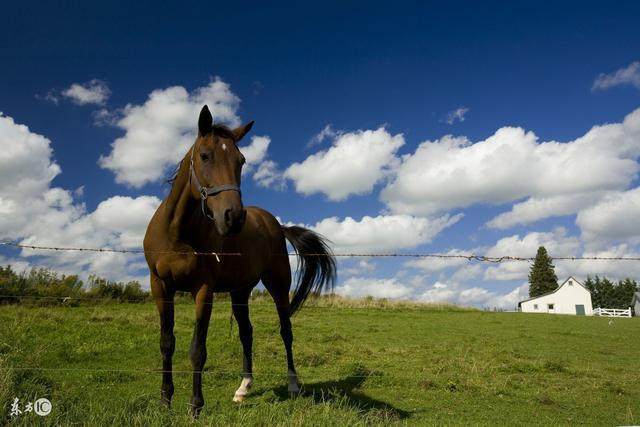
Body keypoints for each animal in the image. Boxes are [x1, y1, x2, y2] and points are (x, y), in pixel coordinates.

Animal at [143, 105, 338, 416]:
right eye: (205, 155)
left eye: (241, 160)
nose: (233, 217)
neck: (178, 233)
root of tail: (275, 225)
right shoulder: (160, 286)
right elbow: (166, 342)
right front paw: (165, 400)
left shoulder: (203, 290)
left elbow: (197, 350)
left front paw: (195, 405)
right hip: (240, 292)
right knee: (247, 333)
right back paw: (243, 388)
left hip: (278, 286)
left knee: (286, 331)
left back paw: (293, 385)